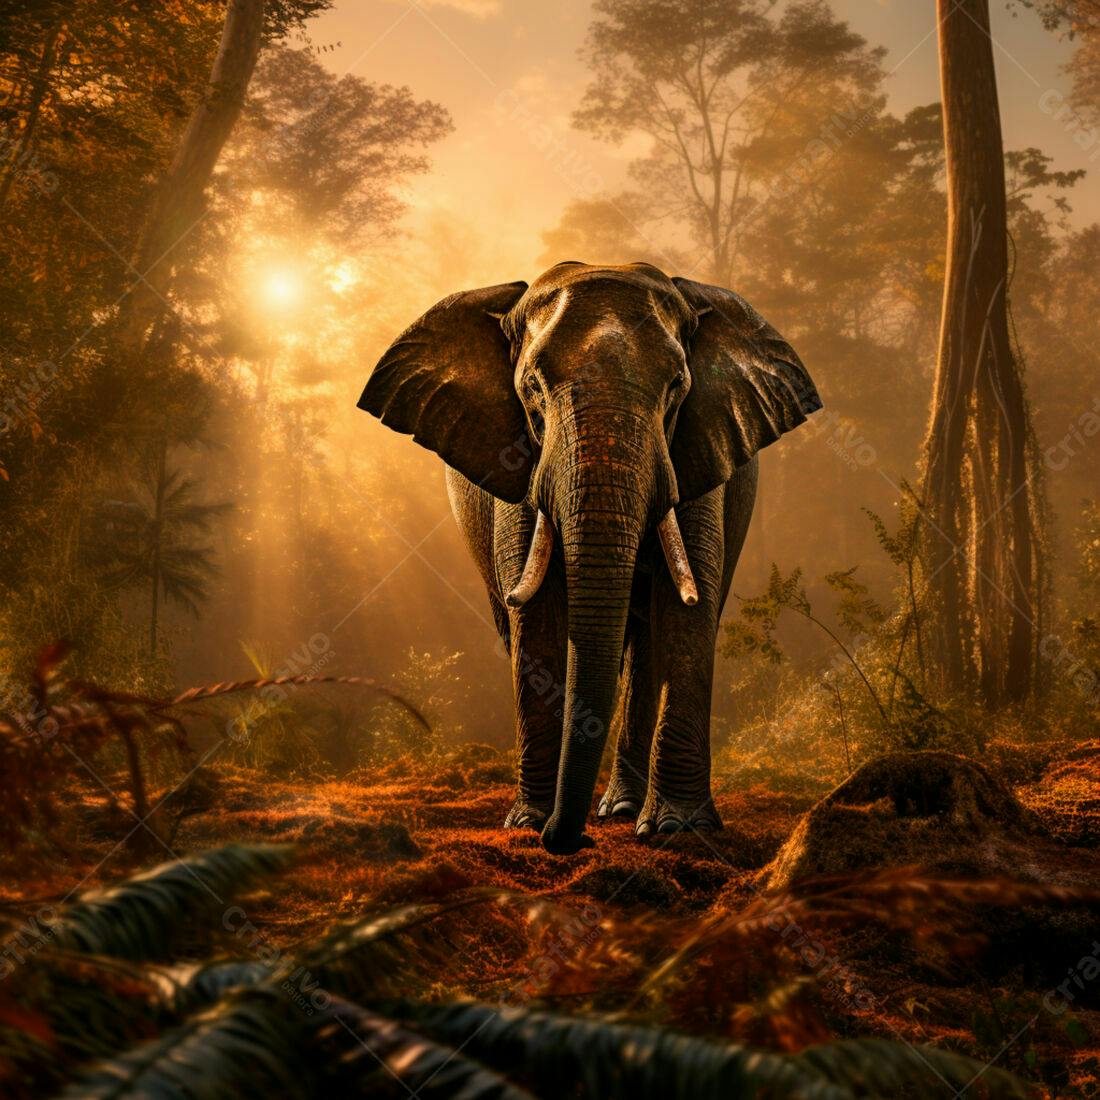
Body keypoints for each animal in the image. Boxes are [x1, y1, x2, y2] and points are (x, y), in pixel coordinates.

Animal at [358, 262, 821, 855]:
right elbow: (537, 617)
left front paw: (679, 828)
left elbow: (688, 609)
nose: (571, 840)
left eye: (677, 387)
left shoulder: (698, 450)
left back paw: (622, 810)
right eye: (531, 389)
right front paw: (529, 822)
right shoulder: (518, 461)